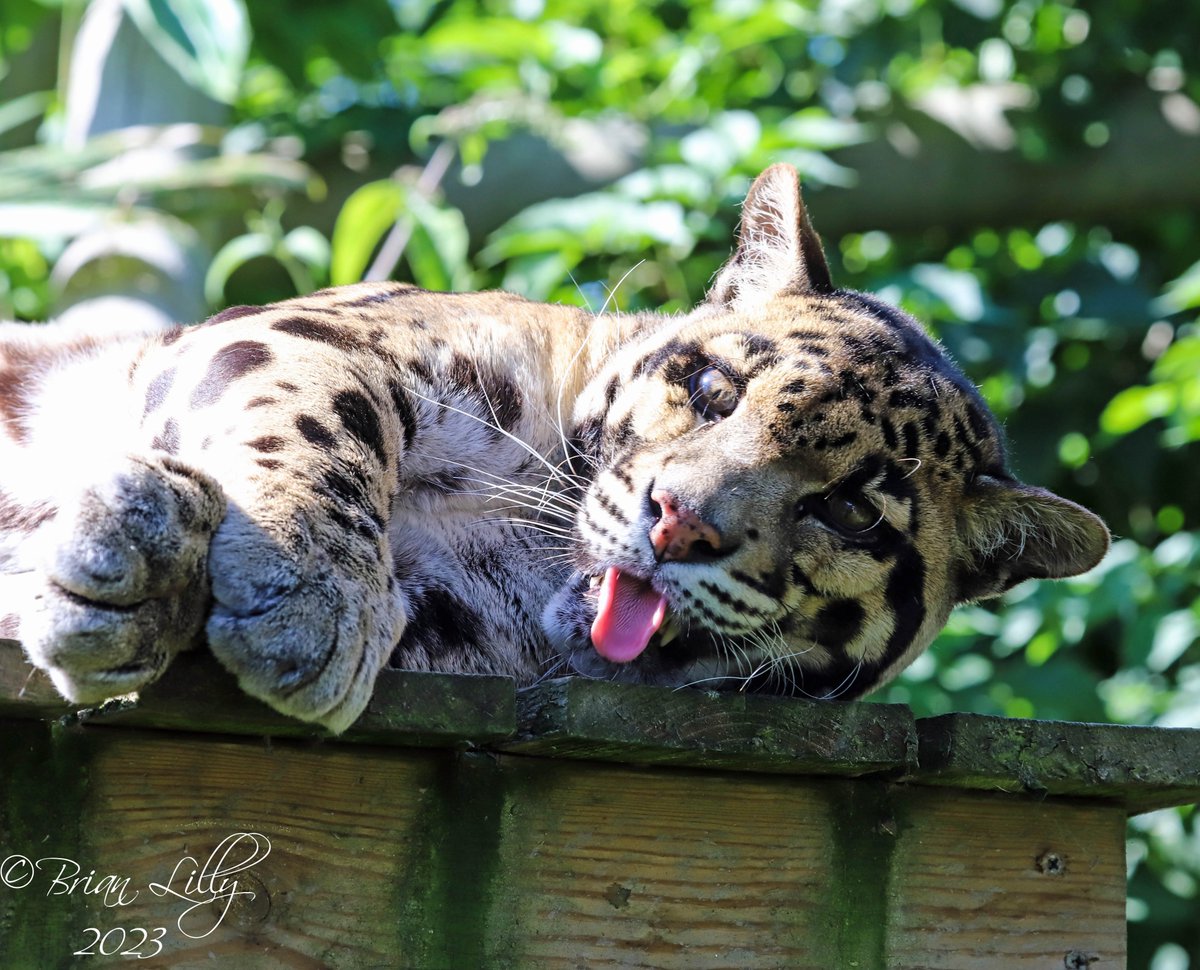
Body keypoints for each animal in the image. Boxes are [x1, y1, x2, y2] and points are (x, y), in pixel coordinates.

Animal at [0, 164, 1109, 732]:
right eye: (713, 391)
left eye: (848, 509)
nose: (678, 522)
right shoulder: (319, 330)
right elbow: (323, 412)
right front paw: (306, 585)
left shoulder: (452, 638)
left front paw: (151, 578)